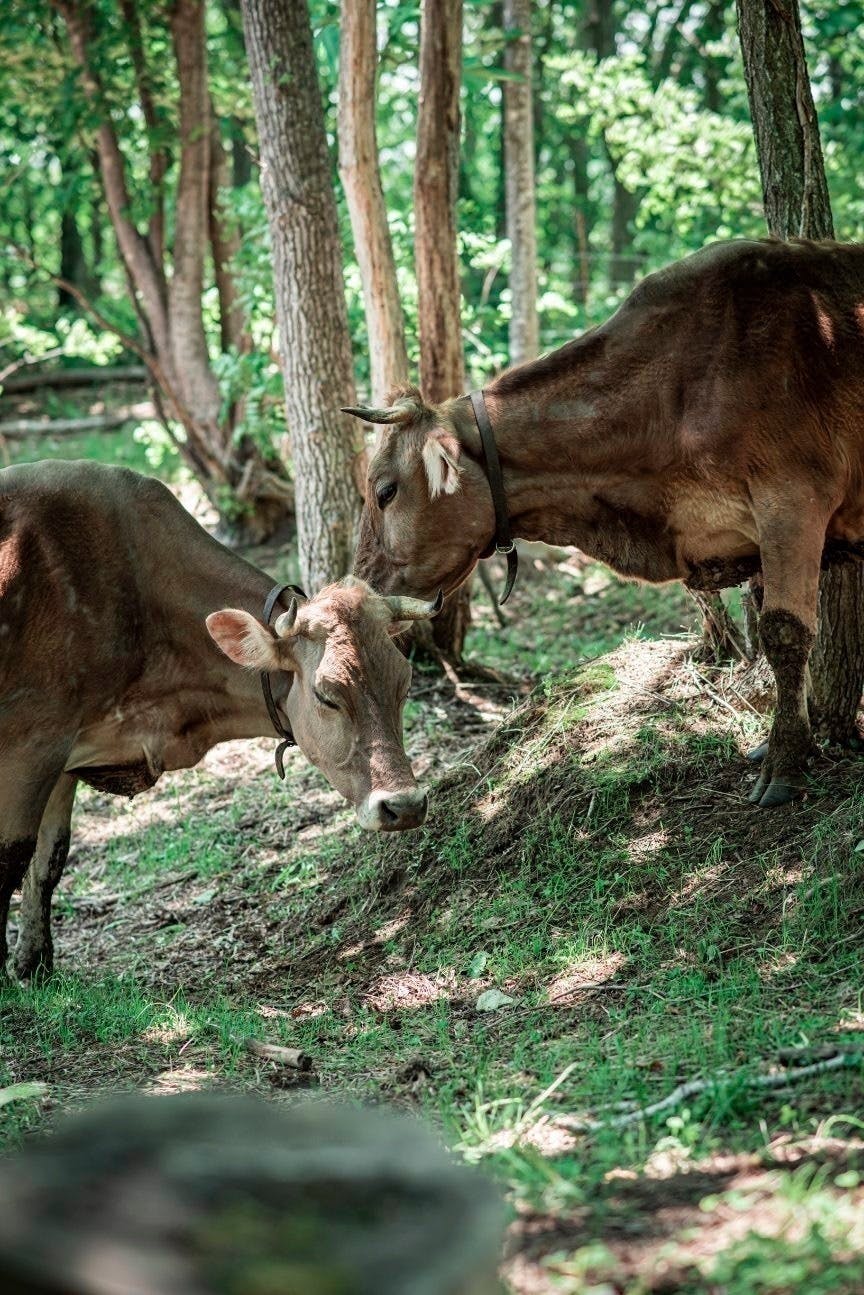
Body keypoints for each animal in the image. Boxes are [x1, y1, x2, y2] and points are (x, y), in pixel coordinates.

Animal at [0, 461, 435, 973]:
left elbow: (47, 860)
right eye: (327, 695)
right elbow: (9, 864)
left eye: (404, 682)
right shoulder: (29, 746)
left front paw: (34, 965)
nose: (404, 805)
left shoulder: (65, 752)